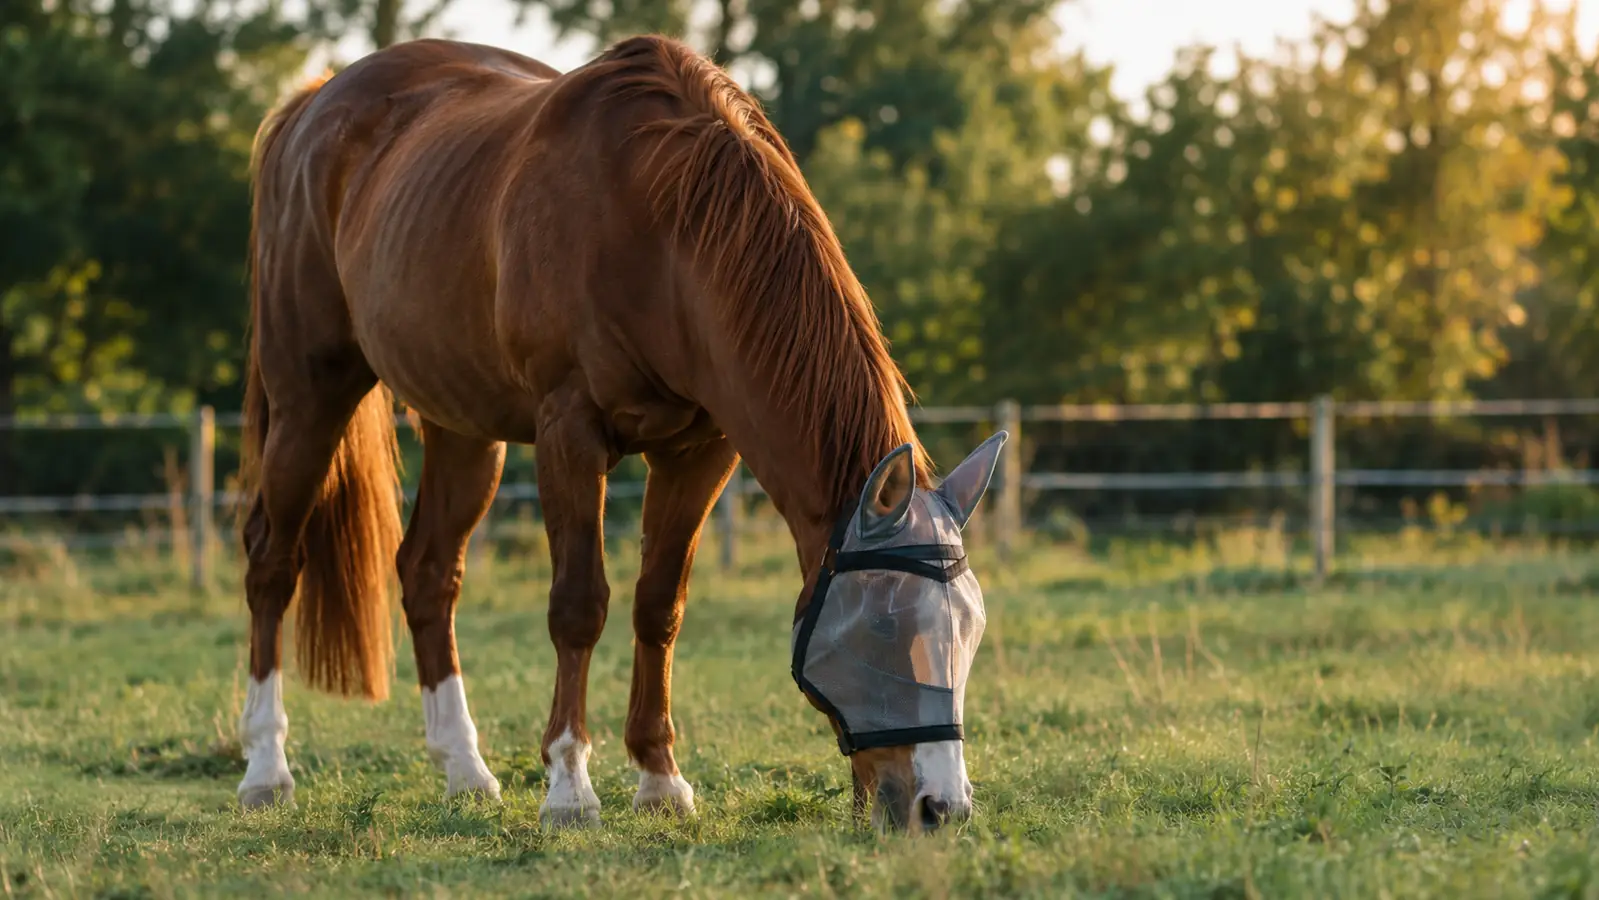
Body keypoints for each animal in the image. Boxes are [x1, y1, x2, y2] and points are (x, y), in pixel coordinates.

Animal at [236, 33, 1006, 833]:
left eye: (971, 630)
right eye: (885, 628)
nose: (941, 807)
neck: (662, 231)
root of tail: (314, 103)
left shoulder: (700, 452)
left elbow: (658, 605)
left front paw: (660, 778)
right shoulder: (569, 433)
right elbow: (579, 606)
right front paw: (570, 786)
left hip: (462, 427)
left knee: (427, 573)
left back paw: (465, 769)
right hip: (308, 398)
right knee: (271, 562)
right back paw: (265, 768)